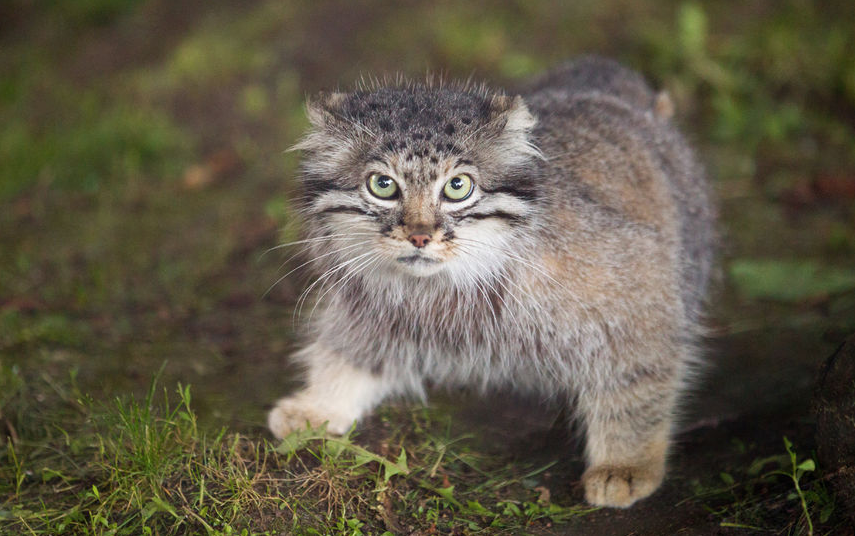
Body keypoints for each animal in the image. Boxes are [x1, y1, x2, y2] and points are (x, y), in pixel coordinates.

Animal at [268, 56, 716, 508]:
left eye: (458, 186)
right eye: (382, 185)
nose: (420, 236)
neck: (444, 287)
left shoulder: (640, 294)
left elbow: (635, 382)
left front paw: (625, 463)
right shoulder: (374, 307)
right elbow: (349, 352)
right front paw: (319, 403)